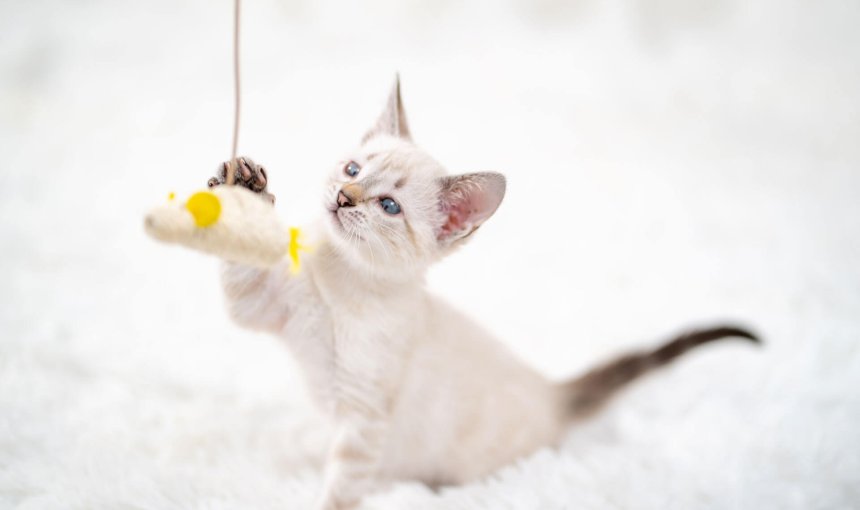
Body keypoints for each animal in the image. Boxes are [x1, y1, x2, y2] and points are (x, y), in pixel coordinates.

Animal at [212, 77, 756, 508]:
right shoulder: (263, 306)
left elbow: (343, 487)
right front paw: (244, 188)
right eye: (352, 170)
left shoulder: (364, 414)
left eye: (388, 206)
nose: (345, 198)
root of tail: (552, 391)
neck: (342, 275)